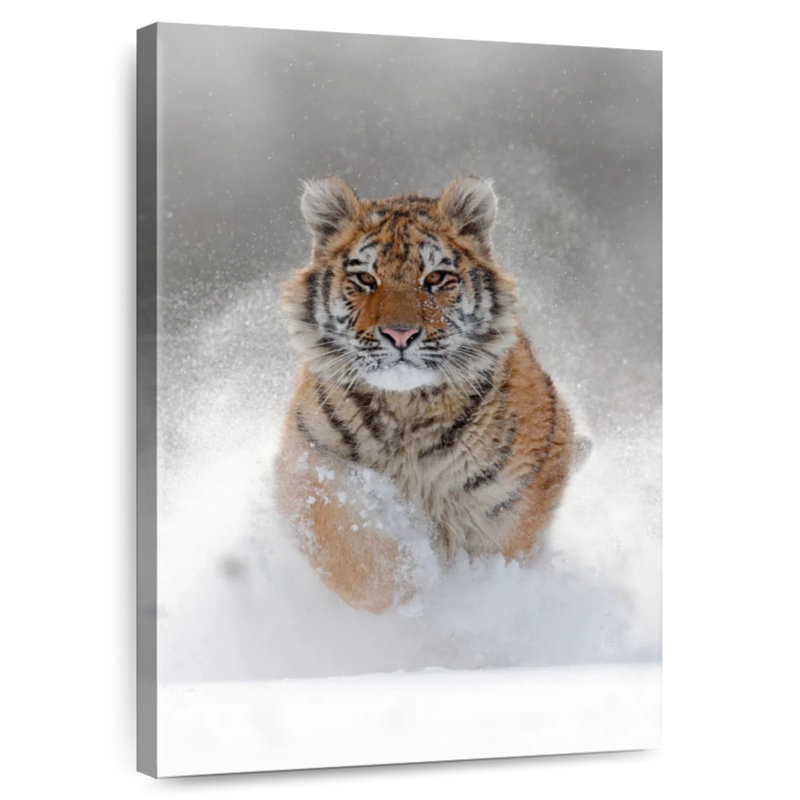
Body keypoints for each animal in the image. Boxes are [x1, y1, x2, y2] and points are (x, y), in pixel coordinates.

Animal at [273, 175, 579, 612]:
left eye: (434, 278)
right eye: (366, 279)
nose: (400, 334)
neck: (406, 410)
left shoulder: (515, 498)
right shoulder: (307, 461)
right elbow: (352, 551)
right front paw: (411, 582)